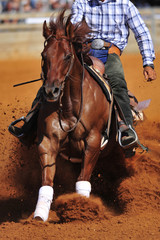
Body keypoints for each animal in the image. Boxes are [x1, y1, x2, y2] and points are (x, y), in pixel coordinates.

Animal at [33, 10, 116, 221]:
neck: (71, 105)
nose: (51, 91)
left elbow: (83, 179)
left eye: (67, 56)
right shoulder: (48, 141)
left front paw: (81, 209)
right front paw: (39, 215)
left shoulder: (93, 141)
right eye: (44, 55)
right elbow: (46, 182)